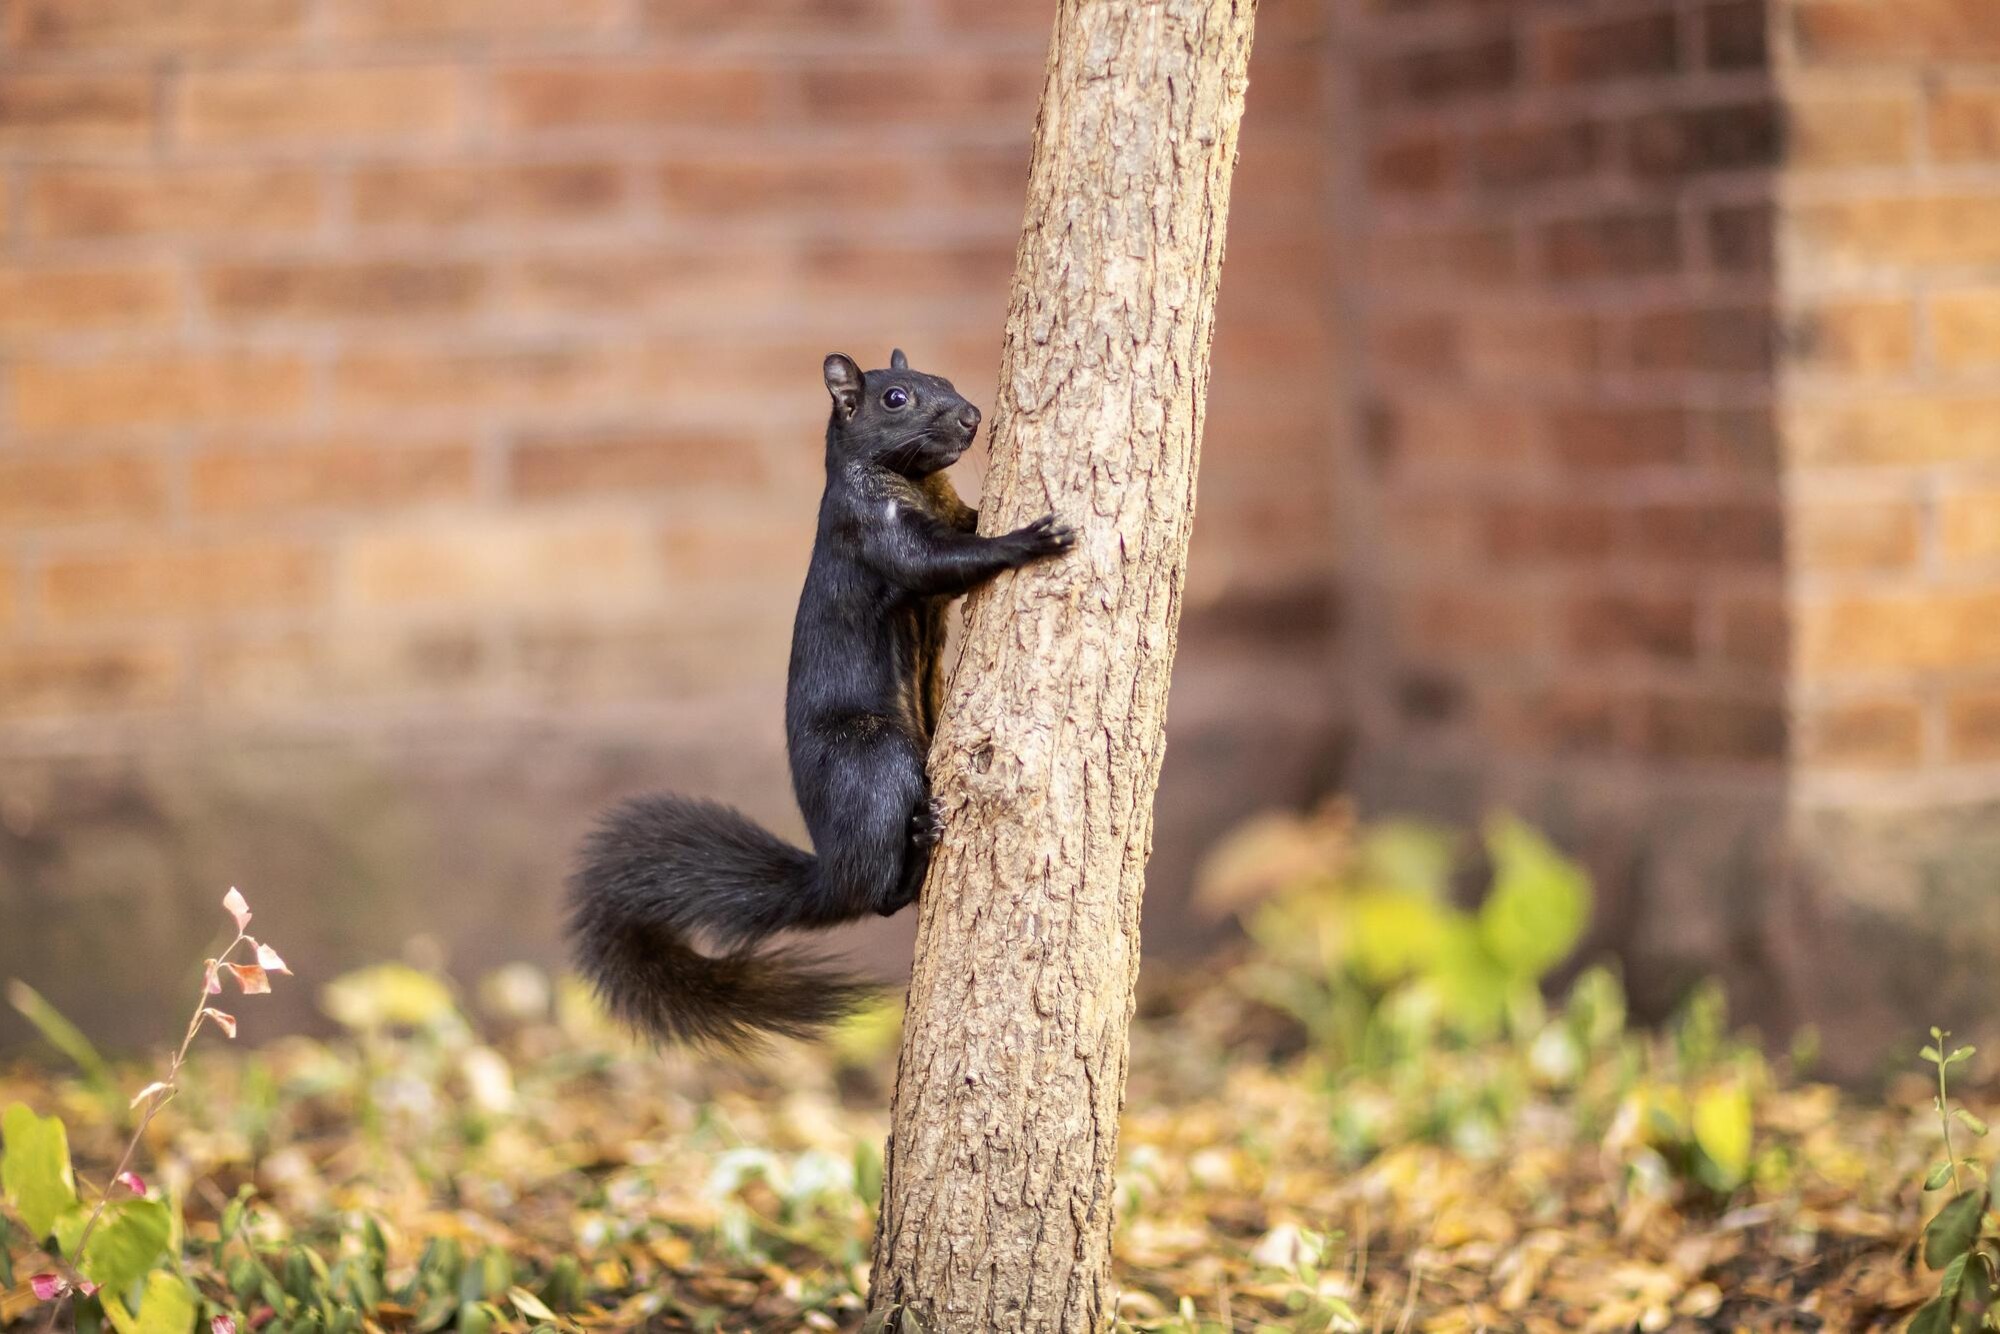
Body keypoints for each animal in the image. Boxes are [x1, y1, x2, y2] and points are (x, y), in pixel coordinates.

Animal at [564, 350, 1080, 1048]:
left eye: (944, 380)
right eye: (895, 398)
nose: (973, 416)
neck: (914, 482)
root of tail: (830, 871)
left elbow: (959, 540)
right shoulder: (868, 529)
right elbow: (935, 563)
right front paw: (1028, 539)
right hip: (876, 759)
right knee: (880, 899)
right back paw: (919, 844)